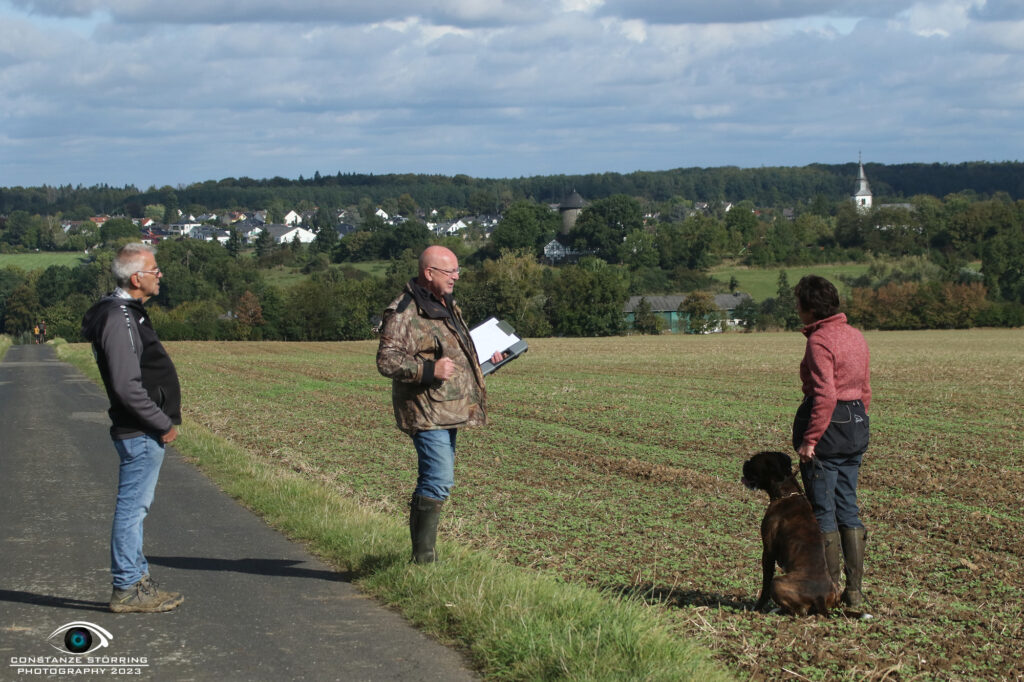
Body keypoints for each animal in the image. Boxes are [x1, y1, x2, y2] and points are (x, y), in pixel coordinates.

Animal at [741, 448, 843, 614]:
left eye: (754, 461)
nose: (745, 462)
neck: (787, 493)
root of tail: (820, 597)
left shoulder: (768, 551)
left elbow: (765, 583)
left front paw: (757, 608)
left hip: (777, 582)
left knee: (799, 611)